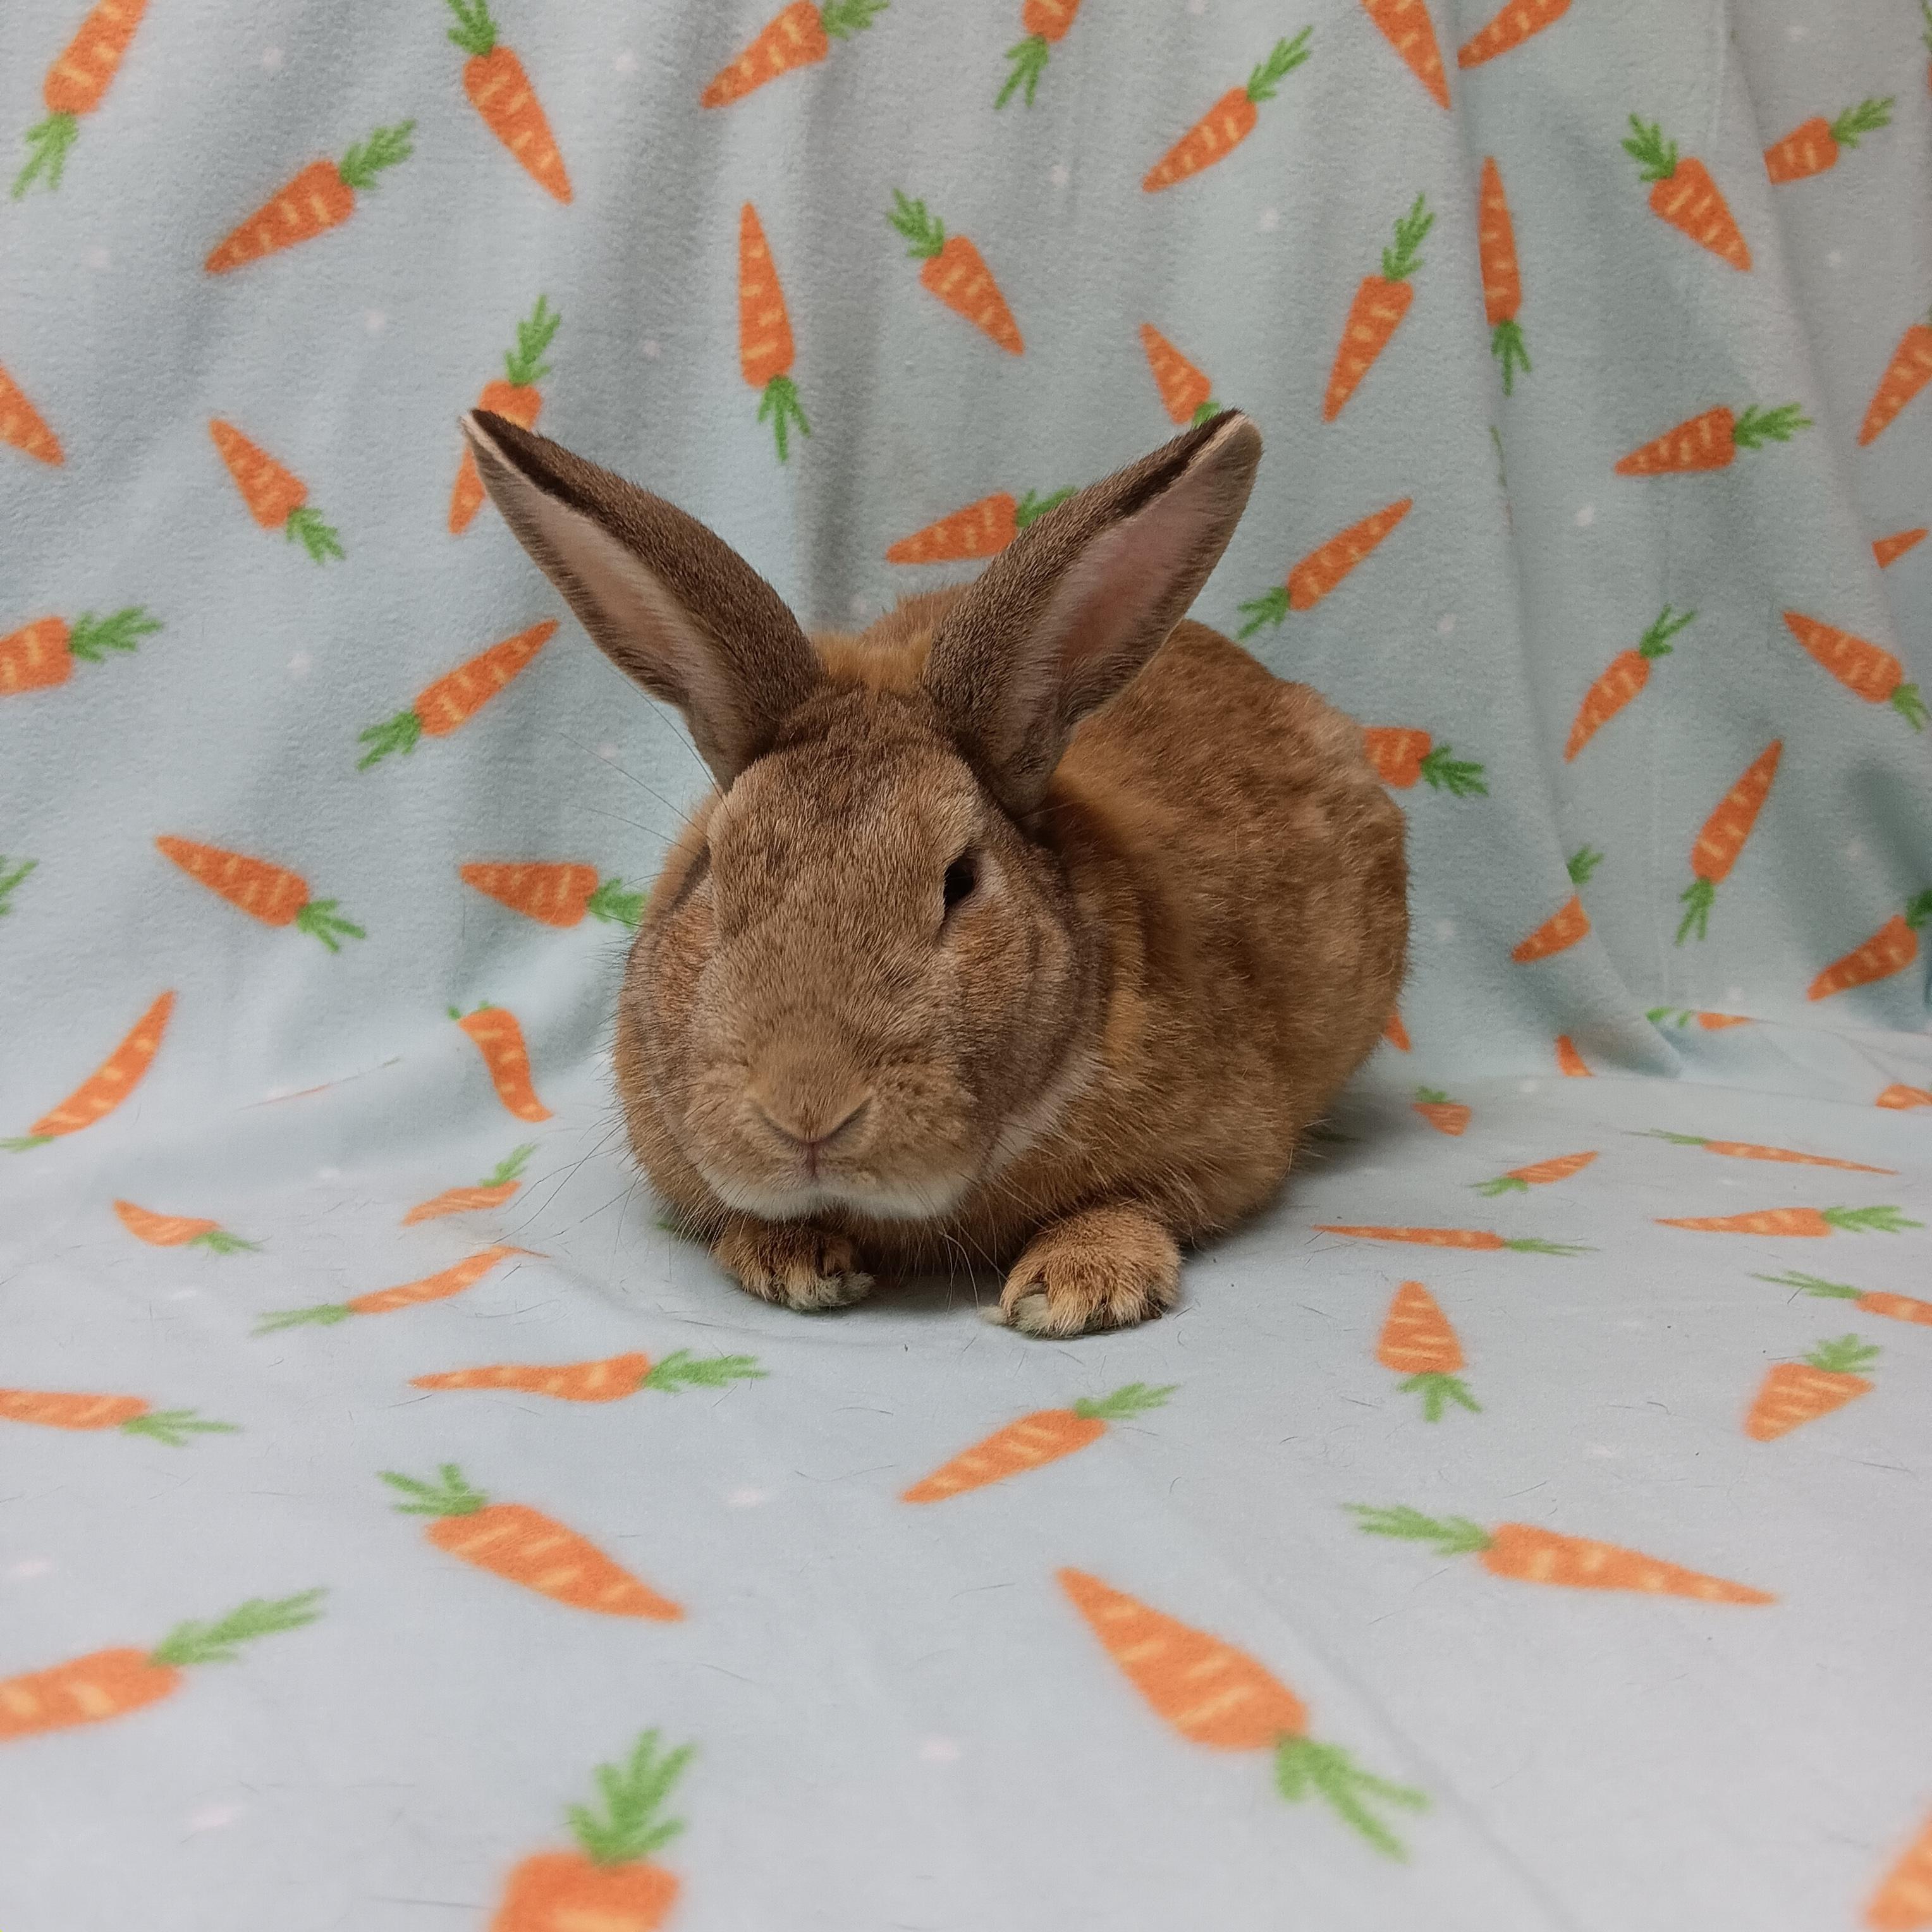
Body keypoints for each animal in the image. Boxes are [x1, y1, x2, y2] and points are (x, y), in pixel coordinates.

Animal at [461, 408, 1407, 1337]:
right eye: (714, 871)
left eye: (960, 881)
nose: (808, 1111)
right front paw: (790, 1262)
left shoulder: (1228, 1147)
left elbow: (1142, 1201)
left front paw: (1078, 1286)